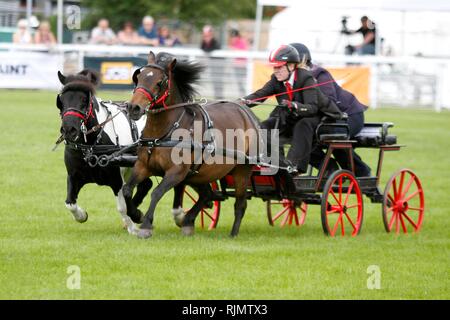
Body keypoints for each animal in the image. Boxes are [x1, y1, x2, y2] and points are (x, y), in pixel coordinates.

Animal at [55, 69, 151, 232]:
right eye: (62, 99)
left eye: (85, 99)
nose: (69, 130)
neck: (90, 146)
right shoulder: (74, 175)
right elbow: (70, 203)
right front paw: (82, 215)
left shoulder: (116, 179)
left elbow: (122, 206)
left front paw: (133, 227)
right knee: (146, 185)